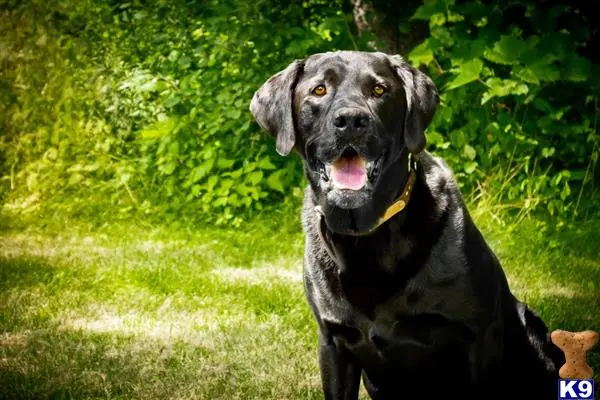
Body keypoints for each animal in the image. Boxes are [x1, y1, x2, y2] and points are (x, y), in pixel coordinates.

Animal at [250, 51, 568, 398]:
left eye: (379, 90)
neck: (366, 237)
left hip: (531, 327)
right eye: (319, 90)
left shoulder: (479, 337)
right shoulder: (333, 342)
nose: (351, 120)